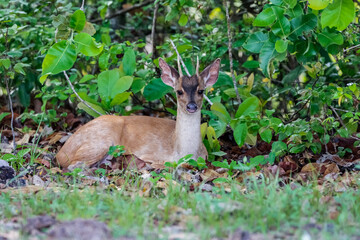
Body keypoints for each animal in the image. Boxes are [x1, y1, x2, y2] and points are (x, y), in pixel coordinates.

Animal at [56, 56, 221, 169]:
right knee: (73, 166)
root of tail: (60, 154)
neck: (183, 153)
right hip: (99, 142)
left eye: (201, 91)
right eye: (179, 91)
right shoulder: (150, 154)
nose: (191, 106)